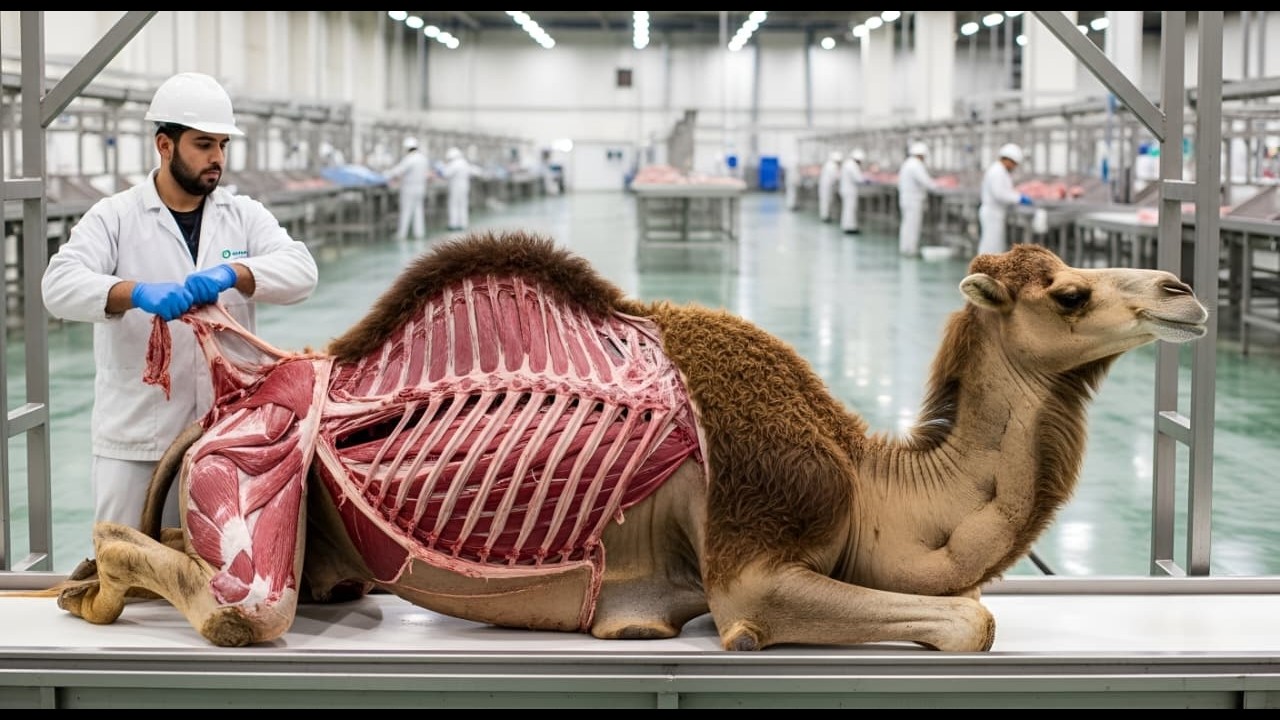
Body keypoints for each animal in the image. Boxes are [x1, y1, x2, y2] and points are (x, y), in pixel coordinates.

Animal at [42, 231, 1207, 651]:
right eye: (1067, 292)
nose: (1182, 290)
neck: (870, 483)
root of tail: (229, 403)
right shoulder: (752, 565)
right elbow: (969, 619)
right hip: (249, 493)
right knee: (221, 597)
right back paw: (91, 594)